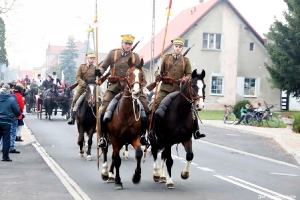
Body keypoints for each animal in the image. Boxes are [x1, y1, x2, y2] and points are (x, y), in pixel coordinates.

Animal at [101, 57, 146, 189]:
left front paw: (136, 176)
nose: (136, 92)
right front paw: (118, 181)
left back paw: (110, 174)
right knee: (106, 152)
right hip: (107, 138)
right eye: (129, 74)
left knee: (113, 156)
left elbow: (139, 153)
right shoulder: (115, 139)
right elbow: (117, 160)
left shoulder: (134, 137)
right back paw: (105, 173)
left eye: (141, 75)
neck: (126, 113)